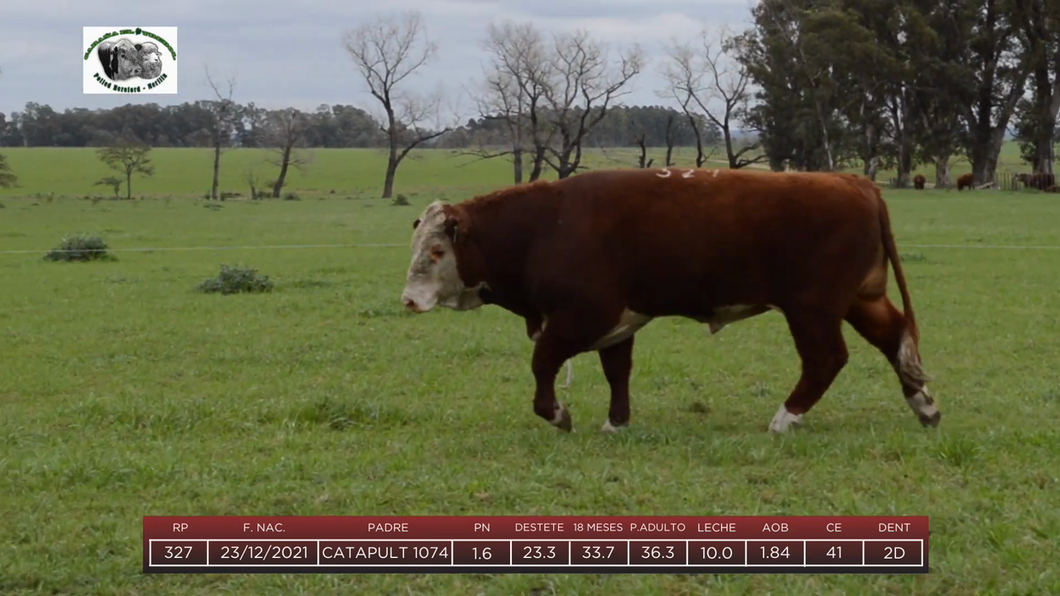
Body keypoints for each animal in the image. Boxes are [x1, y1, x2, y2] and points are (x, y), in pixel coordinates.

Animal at [400, 165, 941, 430]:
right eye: (416, 244)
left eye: (436, 249)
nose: (407, 299)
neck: (544, 227)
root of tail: (855, 181)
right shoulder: (616, 322)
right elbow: (617, 371)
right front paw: (616, 422)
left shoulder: (581, 316)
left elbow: (543, 364)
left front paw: (557, 414)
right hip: (860, 299)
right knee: (895, 337)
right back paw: (924, 406)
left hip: (812, 308)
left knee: (826, 359)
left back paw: (785, 418)